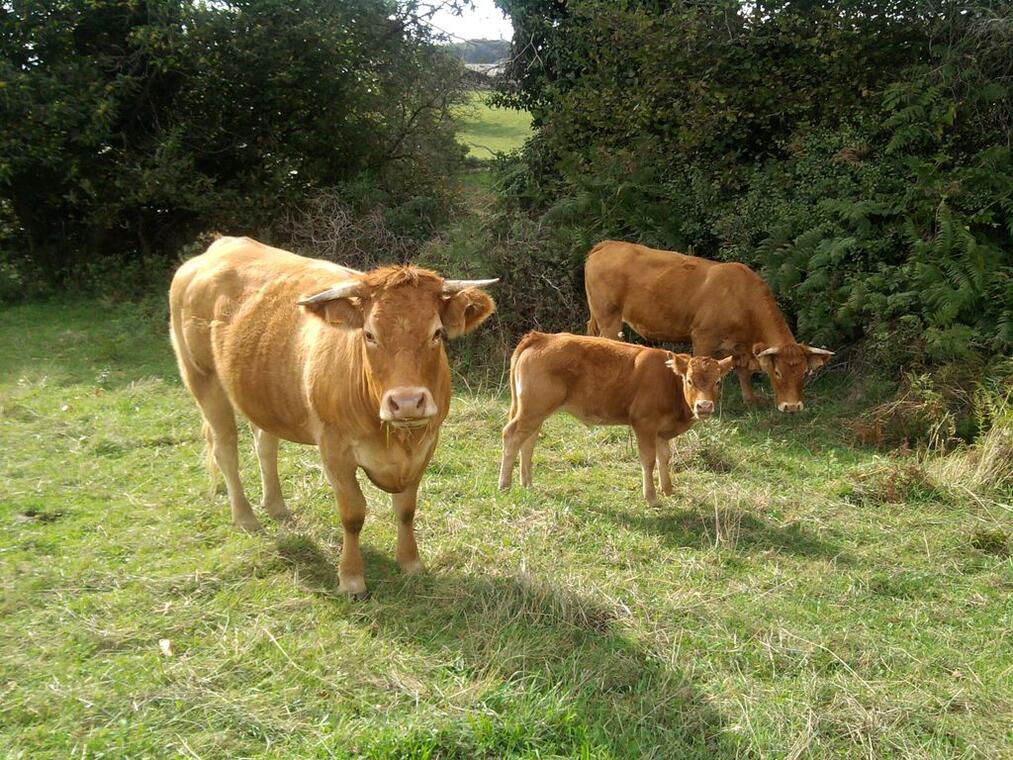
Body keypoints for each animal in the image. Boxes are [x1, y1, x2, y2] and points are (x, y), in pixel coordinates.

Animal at [172, 235, 496, 599]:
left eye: (437, 333)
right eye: (369, 334)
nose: (407, 402)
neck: (394, 437)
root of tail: (218, 246)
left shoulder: (426, 444)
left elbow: (406, 509)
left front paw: (411, 563)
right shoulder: (334, 450)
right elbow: (353, 514)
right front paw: (351, 579)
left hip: (261, 391)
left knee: (265, 445)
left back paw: (277, 507)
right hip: (203, 381)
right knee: (226, 450)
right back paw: (246, 518)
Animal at [496, 332, 729, 506]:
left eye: (718, 381)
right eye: (689, 380)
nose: (704, 406)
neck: (669, 381)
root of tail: (542, 337)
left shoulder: (661, 431)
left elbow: (664, 457)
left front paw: (668, 490)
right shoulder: (644, 424)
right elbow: (648, 460)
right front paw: (652, 498)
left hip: (534, 411)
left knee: (528, 440)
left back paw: (527, 483)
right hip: (533, 408)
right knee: (511, 435)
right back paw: (504, 485)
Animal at [587, 241, 830, 413]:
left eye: (804, 372)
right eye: (777, 372)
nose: (792, 407)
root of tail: (608, 244)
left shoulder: (739, 346)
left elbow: (743, 373)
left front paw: (750, 400)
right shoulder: (703, 337)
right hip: (608, 317)